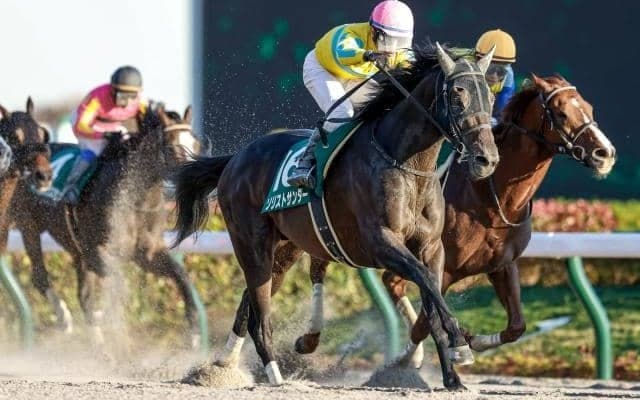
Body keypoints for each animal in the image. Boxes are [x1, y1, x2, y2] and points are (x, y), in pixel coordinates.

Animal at [10, 105, 203, 349]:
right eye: (172, 145)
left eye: (196, 144)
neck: (136, 199)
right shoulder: (98, 251)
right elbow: (118, 283)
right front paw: (119, 331)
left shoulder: (145, 253)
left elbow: (181, 275)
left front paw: (194, 334)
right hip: (29, 225)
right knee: (40, 276)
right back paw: (66, 320)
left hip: (75, 247)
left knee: (84, 294)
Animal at [172, 43, 500, 390]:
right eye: (458, 96)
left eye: (490, 98)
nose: (487, 159)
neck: (407, 166)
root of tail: (236, 159)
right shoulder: (380, 243)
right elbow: (425, 282)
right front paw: (461, 346)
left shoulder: (432, 248)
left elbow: (432, 300)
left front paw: (452, 375)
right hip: (250, 243)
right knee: (260, 316)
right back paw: (273, 374)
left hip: (284, 251)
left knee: (250, 304)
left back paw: (222, 366)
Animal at [294, 74, 617, 367]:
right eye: (562, 113)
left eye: (589, 108)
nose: (605, 153)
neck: (493, 200)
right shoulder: (445, 267)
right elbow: (426, 321)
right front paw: (413, 356)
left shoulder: (503, 264)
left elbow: (516, 326)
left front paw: (473, 340)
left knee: (382, 279)